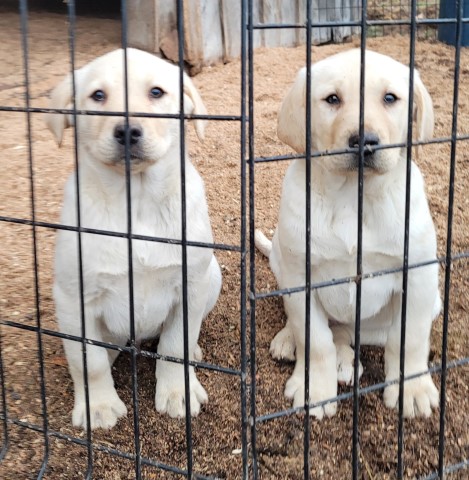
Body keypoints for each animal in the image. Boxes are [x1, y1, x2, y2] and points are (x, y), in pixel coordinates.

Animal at [46, 48, 222, 430]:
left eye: (156, 92)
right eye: (98, 96)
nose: (127, 130)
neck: (136, 201)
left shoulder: (190, 285)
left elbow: (175, 345)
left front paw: (178, 391)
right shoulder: (74, 297)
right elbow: (89, 361)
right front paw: (97, 405)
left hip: (212, 275)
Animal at [254, 47, 440, 418]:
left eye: (390, 98)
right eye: (332, 99)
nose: (365, 142)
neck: (353, 196)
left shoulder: (418, 275)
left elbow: (411, 338)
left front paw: (412, 388)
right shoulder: (300, 277)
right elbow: (314, 340)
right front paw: (314, 388)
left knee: (355, 334)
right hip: (282, 264)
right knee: (325, 330)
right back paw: (293, 342)